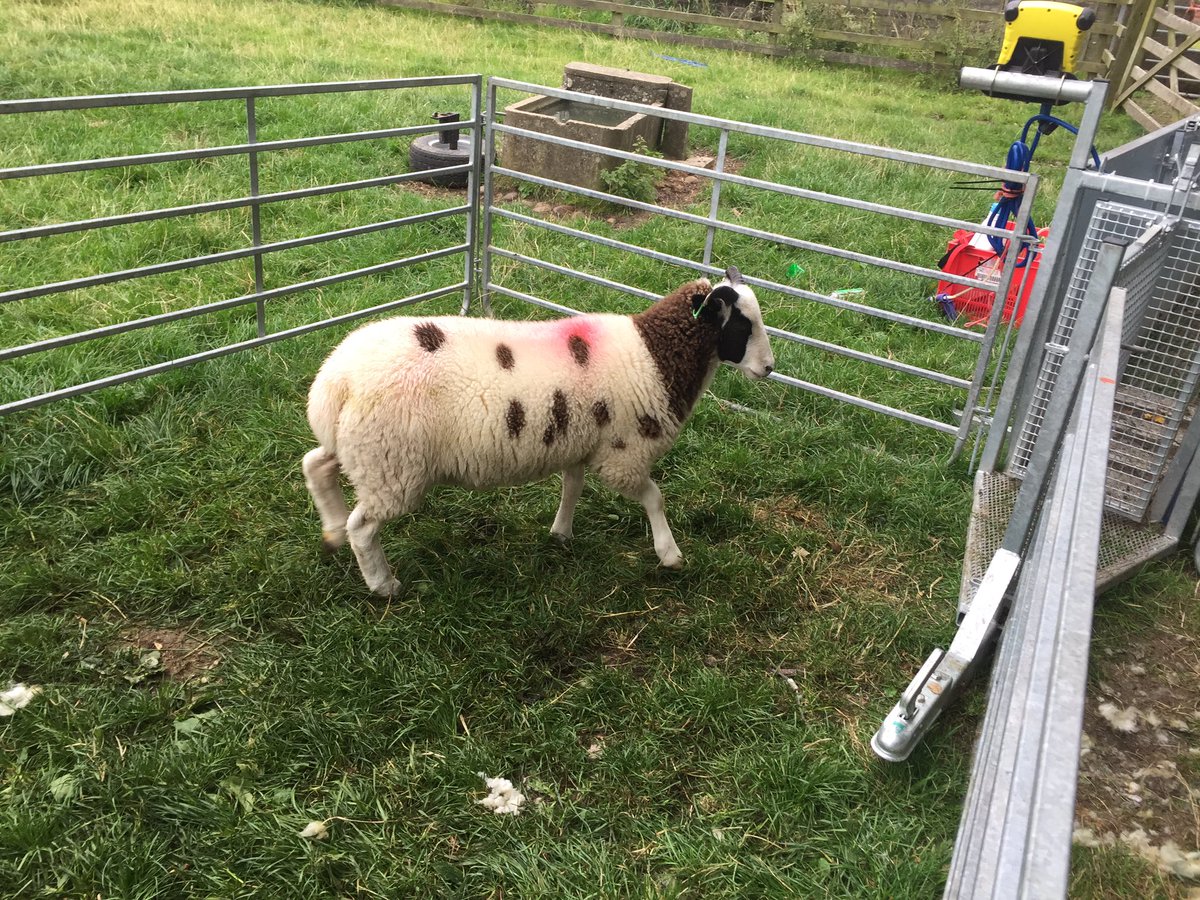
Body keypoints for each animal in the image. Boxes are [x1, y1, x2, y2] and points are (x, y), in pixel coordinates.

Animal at [302, 267, 775, 597]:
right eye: (742, 325)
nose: (769, 368)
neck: (658, 354)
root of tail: (335, 382)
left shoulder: (579, 442)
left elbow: (572, 487)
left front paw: (561, 533)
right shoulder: (623, 453)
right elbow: (654, 497)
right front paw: (670, 554)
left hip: (363, 448)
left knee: (317, 465)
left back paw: (332, 530)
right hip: (392, 464)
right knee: (364, 527)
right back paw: (383, 584)